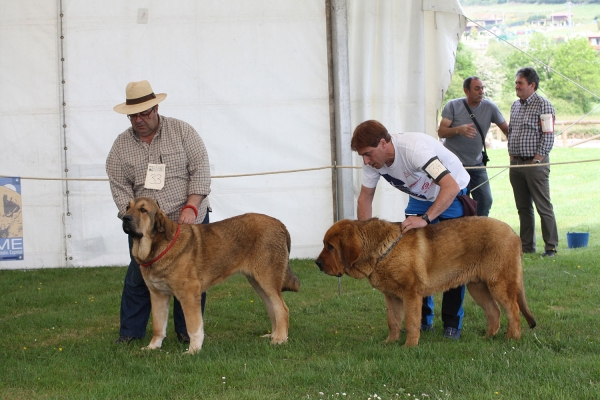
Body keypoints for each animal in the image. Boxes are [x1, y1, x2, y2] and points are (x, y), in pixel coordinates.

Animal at [122, 197, 300, 354]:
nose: (125, 218)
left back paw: (280, 339)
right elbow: (158, 326)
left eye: (143, 210)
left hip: (267, 279)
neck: (157, 246)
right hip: (258, 283)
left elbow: (193, 327)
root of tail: (280, 224)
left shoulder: (189, 294)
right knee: (272, 308)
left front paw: (193, 350)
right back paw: (274, 334)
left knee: (282, 308)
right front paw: (153, 347)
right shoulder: (158, 294)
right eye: (127, 207)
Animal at [316, 217, 536, 346]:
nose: (317, 263)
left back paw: (511, 339)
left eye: (330, 247)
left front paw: (409, 346)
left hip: (499, 284)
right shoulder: (391, 296)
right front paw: (390, 342)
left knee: (513, 310)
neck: (382, 251)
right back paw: (488, 337)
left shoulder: (411, 294)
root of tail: (513, 232)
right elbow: (393, 321)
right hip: (478, 287)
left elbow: (412, 322)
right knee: (494, 311)